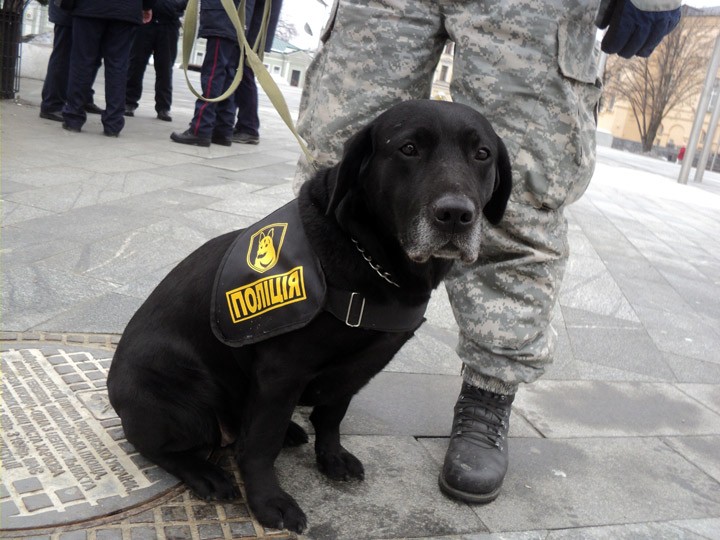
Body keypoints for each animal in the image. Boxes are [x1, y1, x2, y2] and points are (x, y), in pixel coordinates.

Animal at [107, 99, 512, 532]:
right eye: (408, 149)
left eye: (482, 154)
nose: (455, 215)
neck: (368, 258)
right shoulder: (280, 372)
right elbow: (259, 445)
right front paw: (268, 501)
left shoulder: (355, 369)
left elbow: (332, 415)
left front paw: (330, 456)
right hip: (184, 403)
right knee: (158, 447)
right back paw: (206, 474)